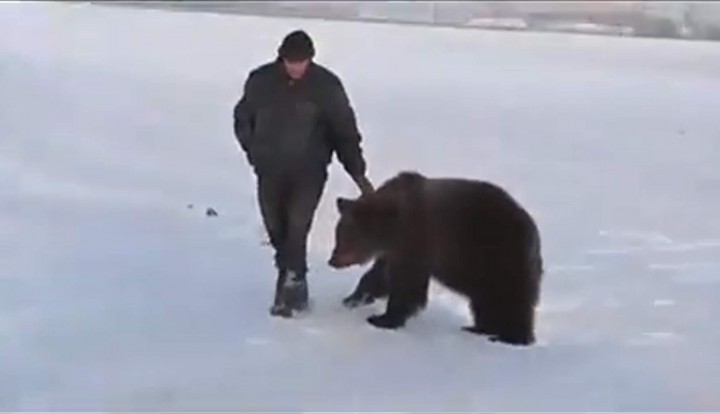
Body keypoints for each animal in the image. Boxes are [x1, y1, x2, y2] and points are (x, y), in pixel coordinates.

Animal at [330, 170, 544, 344]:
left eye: (344, 236)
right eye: (338, 234)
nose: (332, 260)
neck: (391, 227)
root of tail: (533, 229)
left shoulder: (418, 240)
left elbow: (407, 285)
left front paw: (382, 319)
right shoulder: (394, 251)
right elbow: (379, 276)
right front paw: (353, 298)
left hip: (500, 255)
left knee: (510, 298)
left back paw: (510, 336)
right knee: (484, 301)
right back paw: (478, 328)